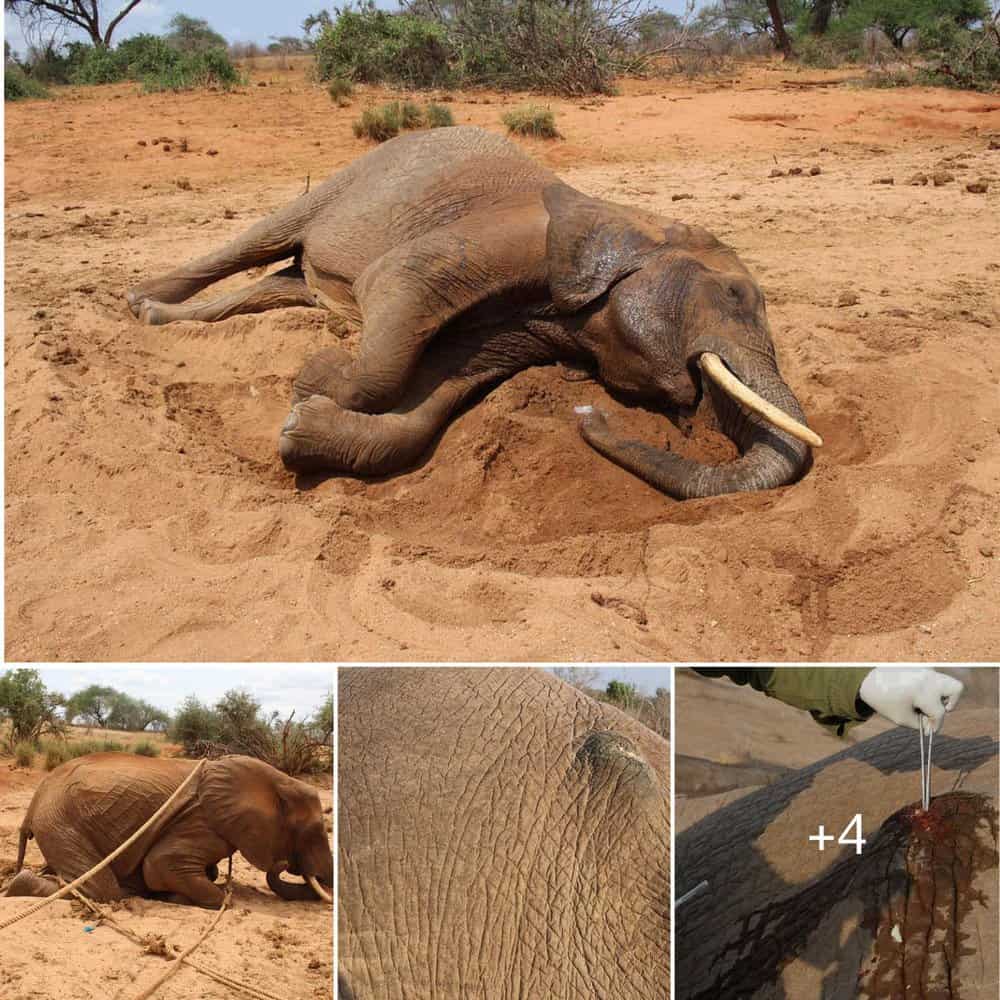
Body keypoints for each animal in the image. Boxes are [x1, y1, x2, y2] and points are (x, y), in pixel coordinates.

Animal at [4, 752, 333, 907]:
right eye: (315, 832)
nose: (284, 862)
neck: (276, 781)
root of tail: (36, 798)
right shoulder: (203, 822)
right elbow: (160, 865)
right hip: (60, 820)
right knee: (100, 890)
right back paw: (20, 884)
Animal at [127, 126, 820, 500]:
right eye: (735, 296)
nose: (586, 414)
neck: (633, 218)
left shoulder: (529, 330)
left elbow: (437, 396)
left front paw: (302, 429)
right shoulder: (505, 242)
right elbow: (395, 290)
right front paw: (313, 381)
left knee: (279, 284)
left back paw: (161, 319)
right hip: (353, 176)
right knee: (264, 239)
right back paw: (138, 302)